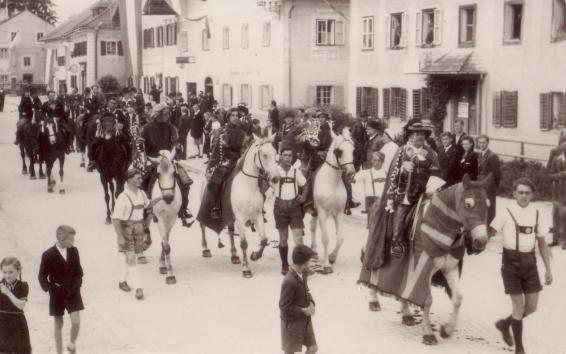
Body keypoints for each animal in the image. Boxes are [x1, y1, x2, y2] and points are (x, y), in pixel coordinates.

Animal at [312, 127, 358, 274]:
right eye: (339, 151)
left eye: (353, 150)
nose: (351, 174)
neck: (332, 181)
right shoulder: (321, 212)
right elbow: (326, 238)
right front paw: (326, 264)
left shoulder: (338, 213)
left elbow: (340, 238)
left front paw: (332, 257)